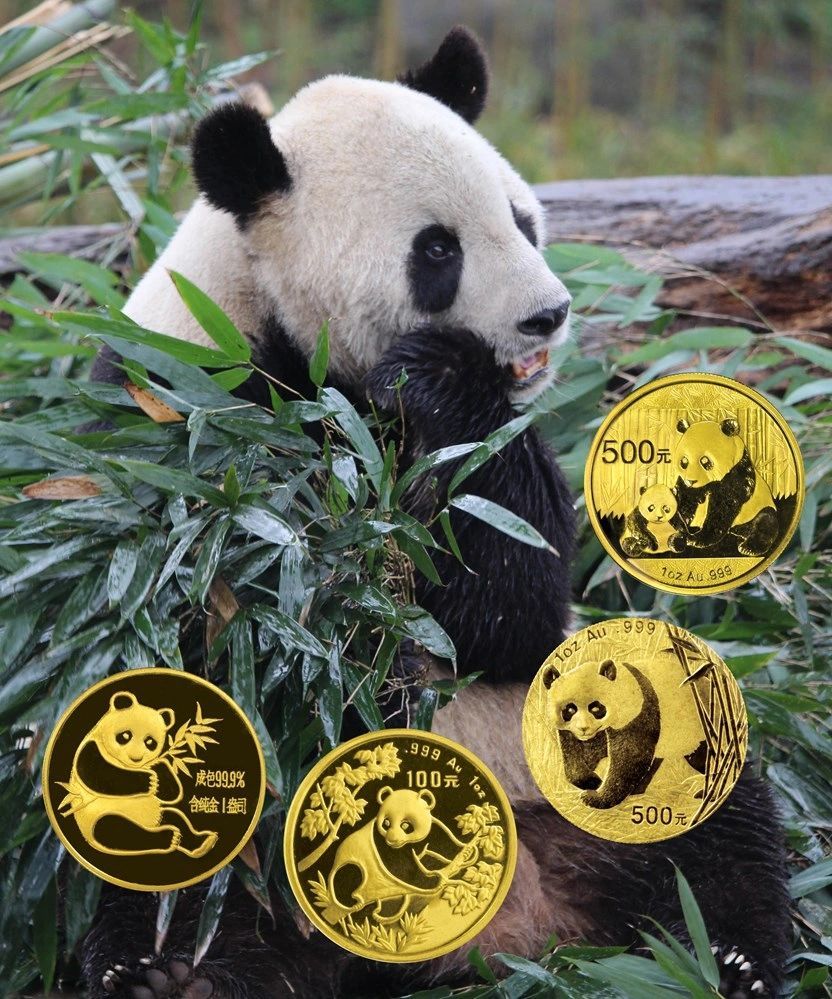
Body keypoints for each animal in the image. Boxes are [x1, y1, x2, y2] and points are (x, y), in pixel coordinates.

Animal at [672, 418, 779, 556]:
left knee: (766, 522)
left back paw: (749, 548)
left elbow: (723, 507)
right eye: (684, 461)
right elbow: (686, 500)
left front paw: (698, 539)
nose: (691, 481)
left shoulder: (737, 474)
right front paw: (680, 527)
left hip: (758, 510)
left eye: (705, 460)